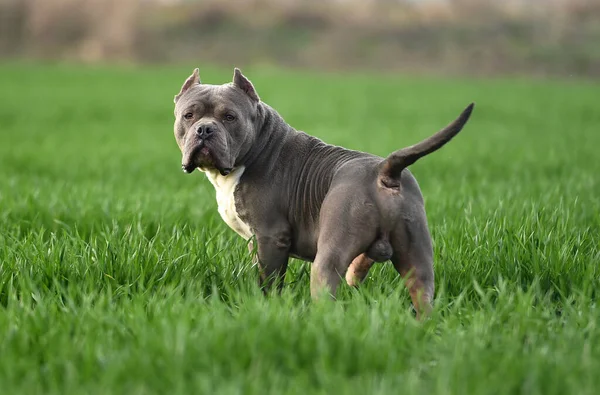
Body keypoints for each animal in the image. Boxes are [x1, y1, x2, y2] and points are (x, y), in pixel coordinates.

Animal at [173, 66, 474, 318]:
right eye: (189, 115)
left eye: (229, 117)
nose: (204, 129)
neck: (257, 148)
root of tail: (385, 171)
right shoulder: (254, 241)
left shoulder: (271, 237)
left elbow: (269, 282)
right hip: (417, 258)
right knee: (422, 294)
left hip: (328, 257)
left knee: (326, 291)